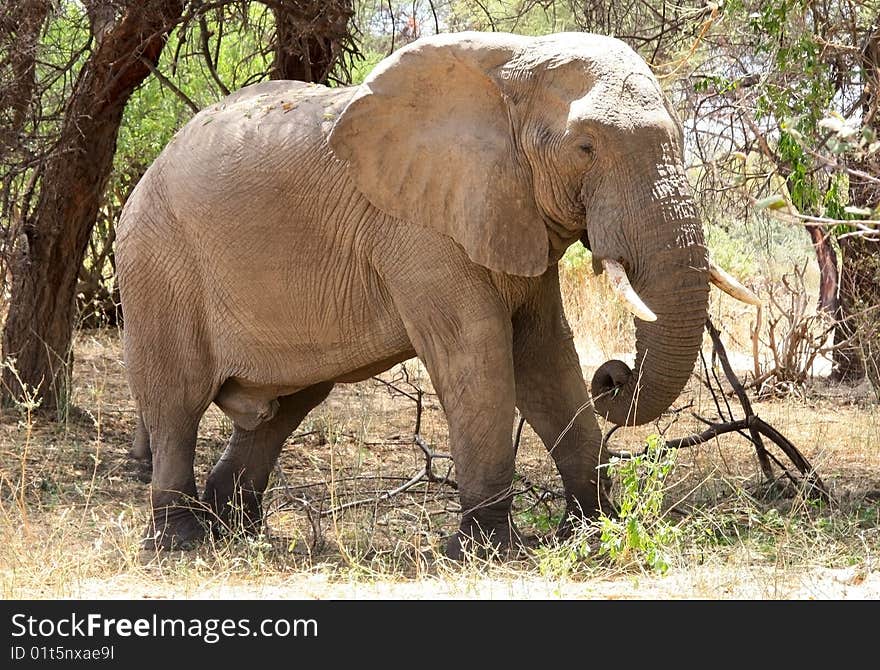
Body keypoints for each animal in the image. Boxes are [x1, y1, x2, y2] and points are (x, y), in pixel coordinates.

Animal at [115, 30, 756, 560]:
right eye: (586, 148)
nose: (614, 375)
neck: (512, 65)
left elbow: (545, 353)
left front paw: (593, 528)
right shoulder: (418, 228)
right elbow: (478, 352)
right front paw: (484, 549)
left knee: (286, 404)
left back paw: (237, 531)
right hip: (158, 262)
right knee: (178, 401)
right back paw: (179, 540)